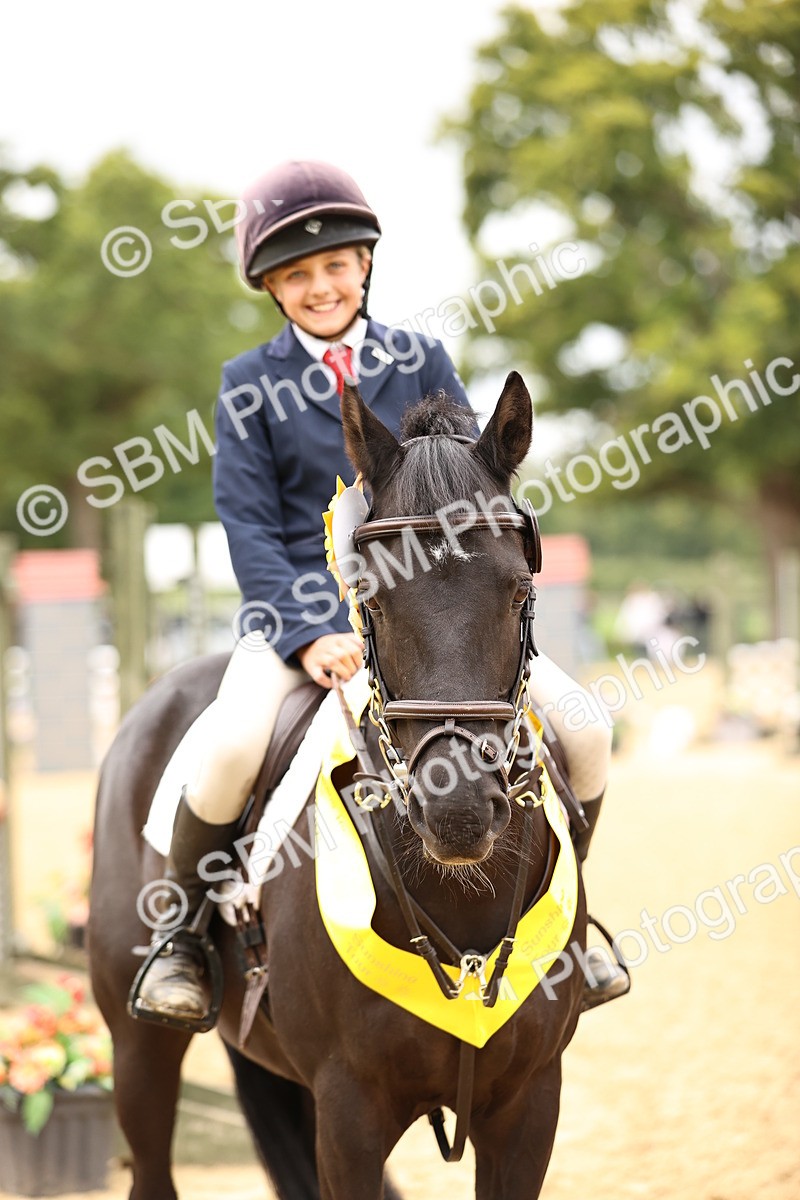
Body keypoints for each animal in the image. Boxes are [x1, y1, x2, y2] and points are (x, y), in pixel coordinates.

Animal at [88, 370, 587, 1200]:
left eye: (520, 592)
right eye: (374, 601)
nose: (456, 812)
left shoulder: (529, 1103)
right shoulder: (348, 1109)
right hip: (138, 1051)